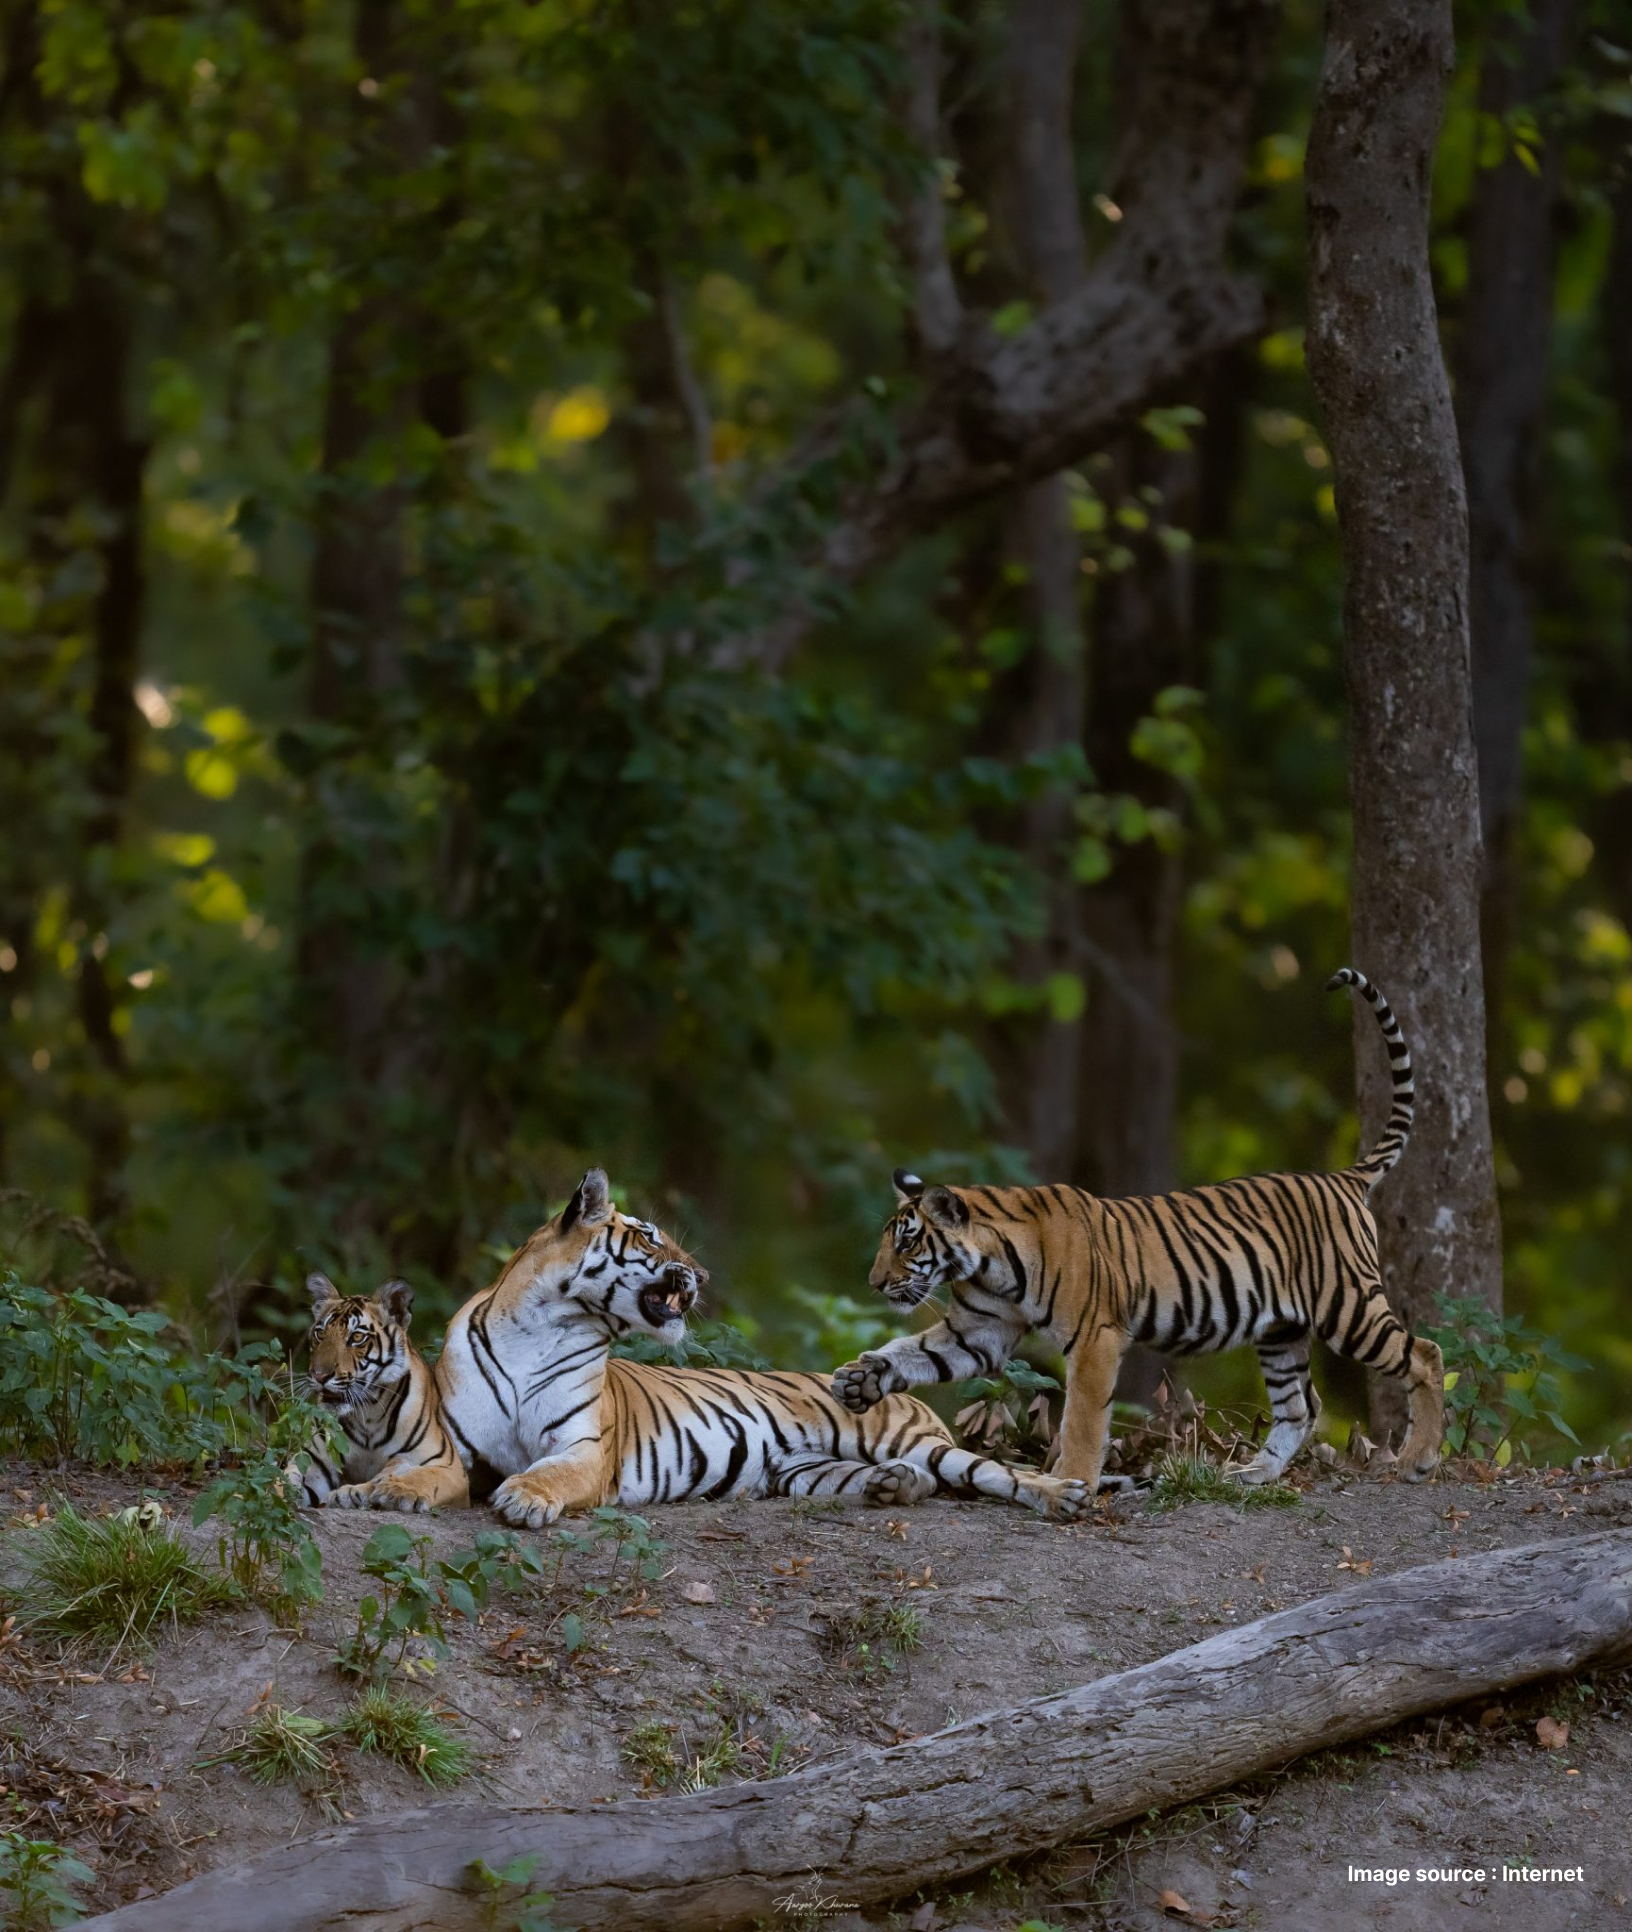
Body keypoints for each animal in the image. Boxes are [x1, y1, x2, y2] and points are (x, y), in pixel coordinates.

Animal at [290, 1273, 469, 1512]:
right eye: (320, 1334)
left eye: (357, 1338)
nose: (319, 1375)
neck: (368, 1415)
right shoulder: (313, 1462)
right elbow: (283, 1479)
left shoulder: (447, 1465)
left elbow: (422, 1476)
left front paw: (396, 1491)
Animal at [407, 1167, 1092, 1525]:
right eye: (650, 1237)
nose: (703, 1277)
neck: (544, 1328)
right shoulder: (450, 1440)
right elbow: (426, 1470)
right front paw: (401, 1492)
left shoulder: (584, 1450)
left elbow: (550, 1471)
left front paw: (524, 1495)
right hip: (806, 1471)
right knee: (905, 1482)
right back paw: (892, 1488)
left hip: (916, 1444)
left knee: (998, 1473)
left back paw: (1064, 1495)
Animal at [831, 968, 1444, 1494]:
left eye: (907, 1240)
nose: (875, 1283)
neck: (987, 1265)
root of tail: (1342, 1176)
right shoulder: (977, 1332)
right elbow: (912, 1351)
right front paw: (861, 1378)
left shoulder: (1096, 1338)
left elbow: (1082, 1419)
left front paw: (1071, 1482)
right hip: (1280, 1330)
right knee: (1302, 1406)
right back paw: (1252, 1475)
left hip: (1347, 1306)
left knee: (1424, 1353)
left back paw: (1418, 1461)